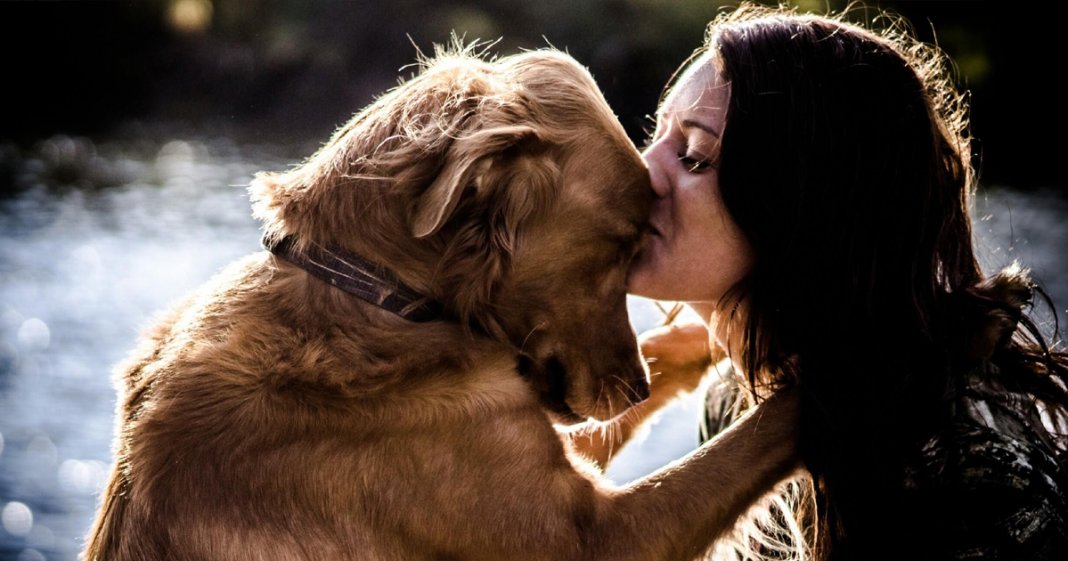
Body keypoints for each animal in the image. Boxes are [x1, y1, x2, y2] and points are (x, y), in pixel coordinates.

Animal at [87, 44, 798, 559]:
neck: (380, 301)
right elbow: (751, 438)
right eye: (627, 243)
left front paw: (701, 341)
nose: (636, 390)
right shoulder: (591, 535)